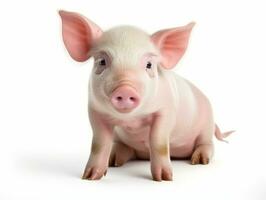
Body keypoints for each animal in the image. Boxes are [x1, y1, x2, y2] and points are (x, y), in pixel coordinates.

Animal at [58, 9, 233, 181]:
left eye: (149, 65)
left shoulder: (166, 110)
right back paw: (113, 160)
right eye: (102, 61)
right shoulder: (95, 110)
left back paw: (199, 161)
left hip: (206, 125)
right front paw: (89, 177)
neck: (131, 119)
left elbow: (159, 142)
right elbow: (99, 143)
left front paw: (164, 178)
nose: (125, 89)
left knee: (207, 144)